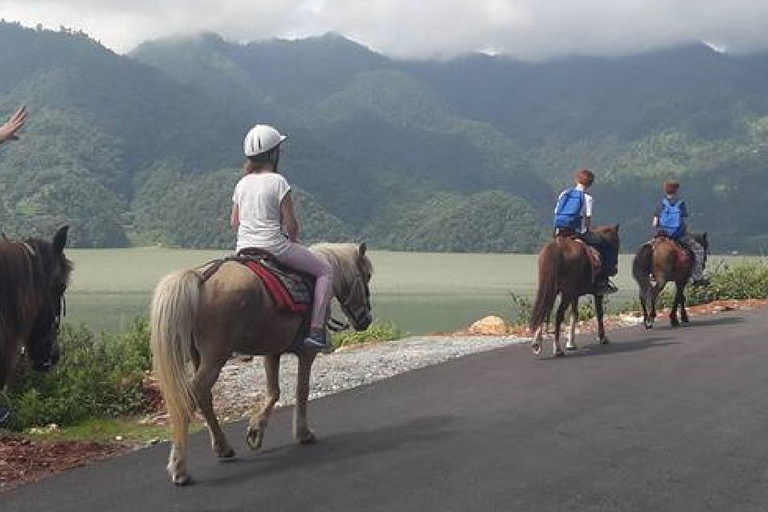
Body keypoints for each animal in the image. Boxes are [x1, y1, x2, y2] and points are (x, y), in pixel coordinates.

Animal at [149, 242, 372, 486]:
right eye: (367, 276)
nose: (366, 319)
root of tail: (202, 277)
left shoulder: (271, 352)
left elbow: (273, 392)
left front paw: (256, 431)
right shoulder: (307, 352)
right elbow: (301, 390)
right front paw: (303, 433)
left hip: (199, 356)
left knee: (203, 396)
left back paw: (223, 448)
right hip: (215, 356)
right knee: (192, 394)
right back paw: (179, 467)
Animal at [528, 226, 616, 358]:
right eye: (615, 244)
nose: (614, 270)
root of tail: (558, 246)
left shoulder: (574, 295)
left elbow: (574, 314)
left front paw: (571, 342)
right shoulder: (597, 293)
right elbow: (599, 313)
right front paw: (602, 338)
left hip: (551, 289)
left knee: (544, 310)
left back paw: (537, 344)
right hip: (565, 293)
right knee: (558, 315)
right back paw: (557, 348)